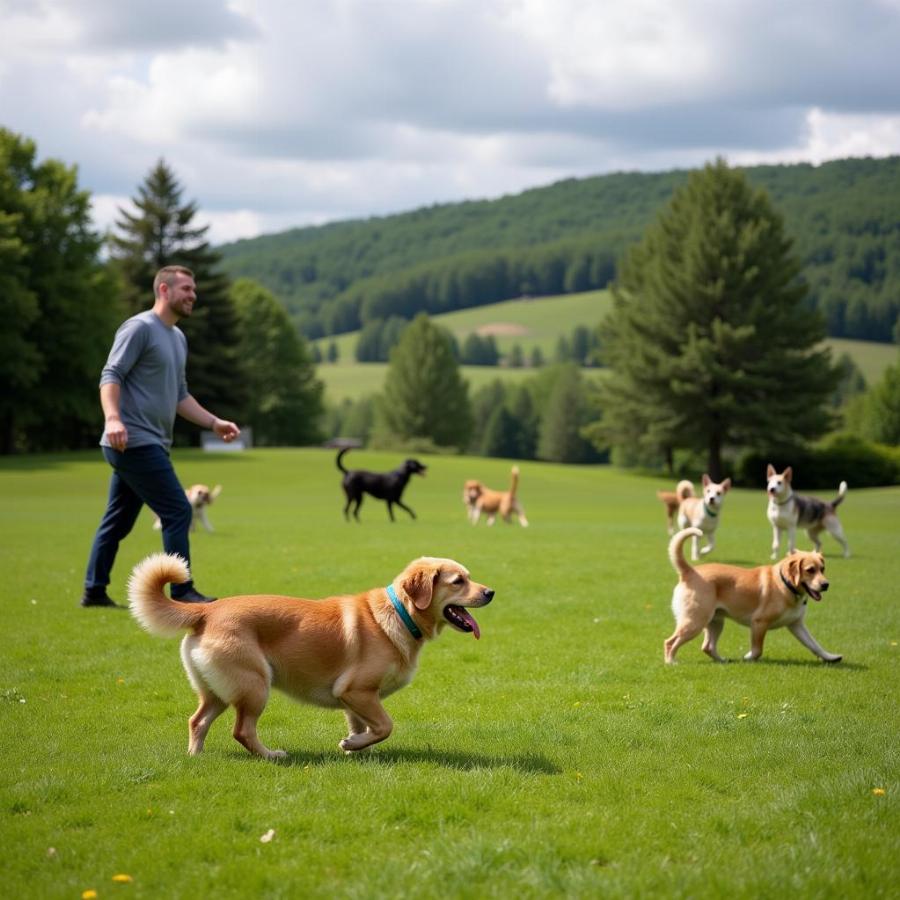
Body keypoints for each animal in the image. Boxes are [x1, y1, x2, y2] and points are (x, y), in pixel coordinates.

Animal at [127, 552, 496, 756]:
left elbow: (364, 727)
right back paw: (272, 755)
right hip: (255, 685)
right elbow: (385, 726)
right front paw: (350, 746)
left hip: (218, 690)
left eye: (470, 577)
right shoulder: (357, 691)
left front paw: (354, 747)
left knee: (197, 721)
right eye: (458, 581)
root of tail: (205, 611)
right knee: (242, 731)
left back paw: (196, 758)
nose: (491, 591)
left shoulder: (355, 699)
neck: (399, 614)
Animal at [660, 524, 844, 664]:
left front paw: (830, 657)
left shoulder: (797, 625)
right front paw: (747, 657)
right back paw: (671, 662)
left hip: (715, 622)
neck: (785, 584)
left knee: (707, 647)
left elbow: (814, 645)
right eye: (810, 570)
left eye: (823, 569)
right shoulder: (759, 623)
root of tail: (689, 571)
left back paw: (723, 661)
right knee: (670, 642)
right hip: (695, 621)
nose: (826, 585)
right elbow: (757, 649)